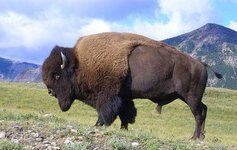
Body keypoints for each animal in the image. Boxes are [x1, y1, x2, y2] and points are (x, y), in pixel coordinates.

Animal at [41, 32, 221, 140]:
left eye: (57, 74)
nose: (50, 92)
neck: (80, 63)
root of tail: (201, 64)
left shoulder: (107, 96)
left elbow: (105, 113)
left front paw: (97, 125)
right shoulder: (123, 97)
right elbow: (125, 113)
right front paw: (123, 128)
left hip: (190, 96)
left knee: (198, 114)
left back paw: (194, 137)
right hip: (188, 96)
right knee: (204, 110)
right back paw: (201, 137)